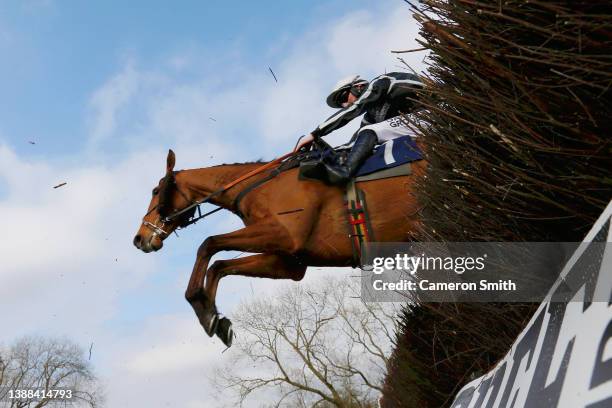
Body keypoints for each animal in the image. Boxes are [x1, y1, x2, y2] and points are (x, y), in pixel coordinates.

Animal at [133, 148, 426, 346]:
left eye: (156, 191)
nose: (139, 238)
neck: (261, 187)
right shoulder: (289, 262)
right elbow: (219, 265)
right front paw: (213, 317)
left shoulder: (285, 235)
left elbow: (209, 244)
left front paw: (199, 302)